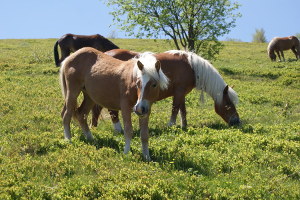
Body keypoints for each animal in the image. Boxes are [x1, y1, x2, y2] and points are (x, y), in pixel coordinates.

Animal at [92, 48, 240, 131]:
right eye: (228, 105)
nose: (237, 121)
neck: (191, 66)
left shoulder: (182, 93)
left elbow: (182, 110)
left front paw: (184, 126)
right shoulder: (179, 92)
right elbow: (175, 109)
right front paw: (171, 125)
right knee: (112, 111)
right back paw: (118, 129)